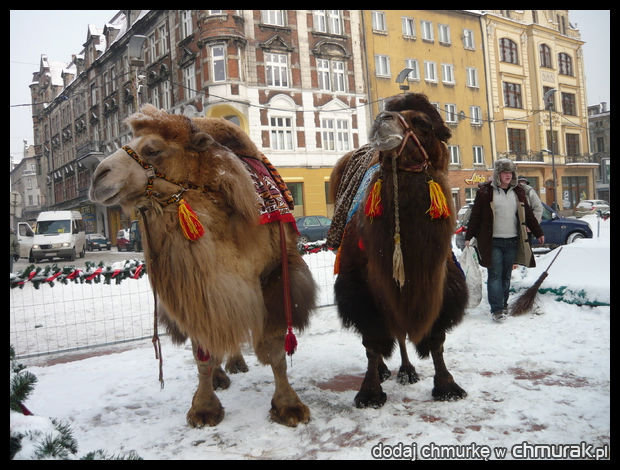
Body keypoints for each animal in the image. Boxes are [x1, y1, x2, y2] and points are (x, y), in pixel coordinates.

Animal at [89, 104, 318, 428]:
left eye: (153, 149)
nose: (98, 177)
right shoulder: (195, 291)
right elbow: (203, 352)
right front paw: (205, 408)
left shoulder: (274, 276)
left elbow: (275, 350)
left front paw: (289, 407)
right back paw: (224, 373)